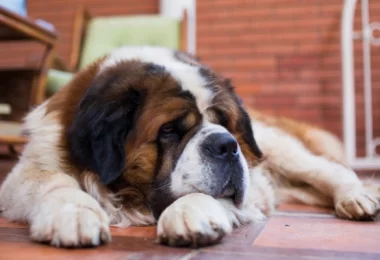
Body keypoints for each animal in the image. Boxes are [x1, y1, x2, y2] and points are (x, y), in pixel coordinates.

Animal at [0, 46, 380, 248]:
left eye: (223, 121)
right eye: (169, 129)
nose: (227, 145)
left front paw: (188, 214)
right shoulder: (28, 172)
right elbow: (53, 182)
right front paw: (74, 214)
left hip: (285, 152)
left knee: (334, 172)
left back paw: (357, 198)